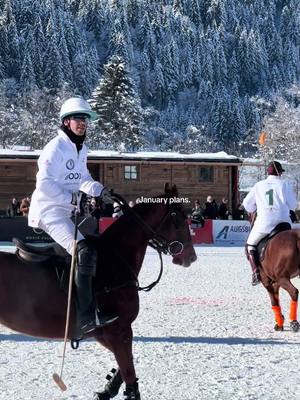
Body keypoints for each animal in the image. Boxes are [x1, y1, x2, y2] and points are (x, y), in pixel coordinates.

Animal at [0, 185, 197, 400]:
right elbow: (129, 372)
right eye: (179, 217)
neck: (116, 259)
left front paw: (107, 389)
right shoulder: (117, 330)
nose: (191, 257)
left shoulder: (104, 333)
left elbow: (126, 365)